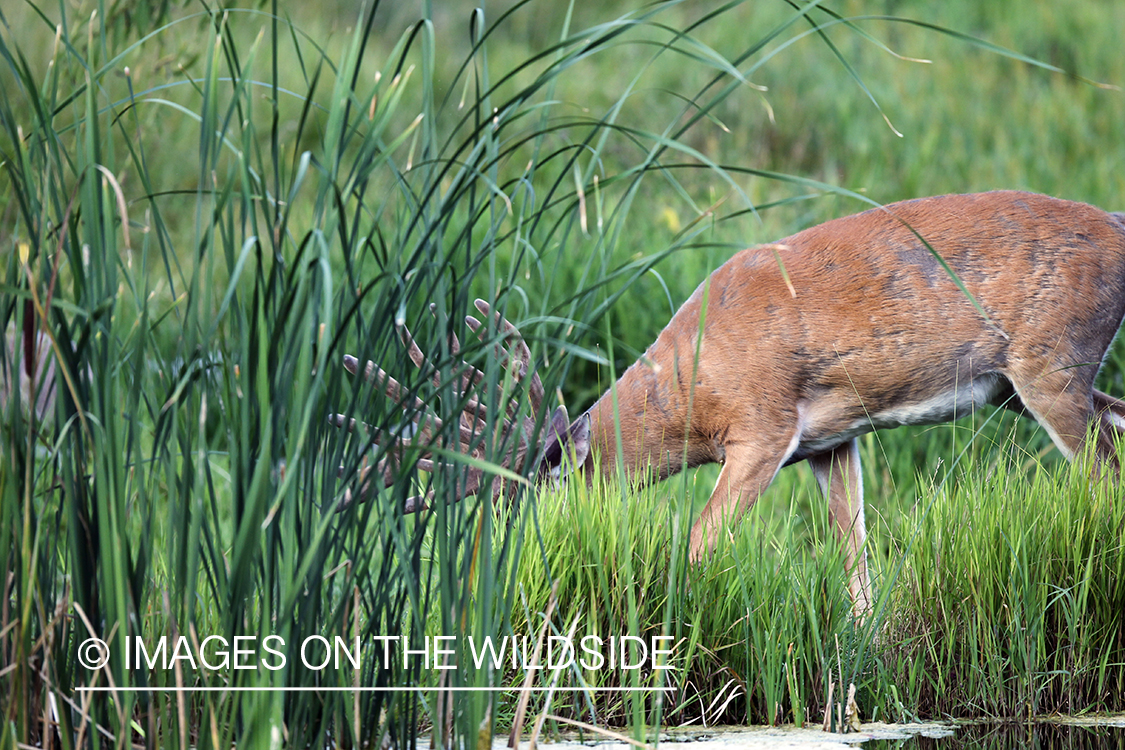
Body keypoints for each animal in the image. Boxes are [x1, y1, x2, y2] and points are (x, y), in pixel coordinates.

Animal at [333, 192, 1125, 616]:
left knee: (1102, 474)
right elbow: (855, 562)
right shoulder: (831, 440)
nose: (501, 581)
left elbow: (697, 543)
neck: (694, 387)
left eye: (541, 503)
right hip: (1026, 388)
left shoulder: (763, 428)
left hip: (1050, 364)